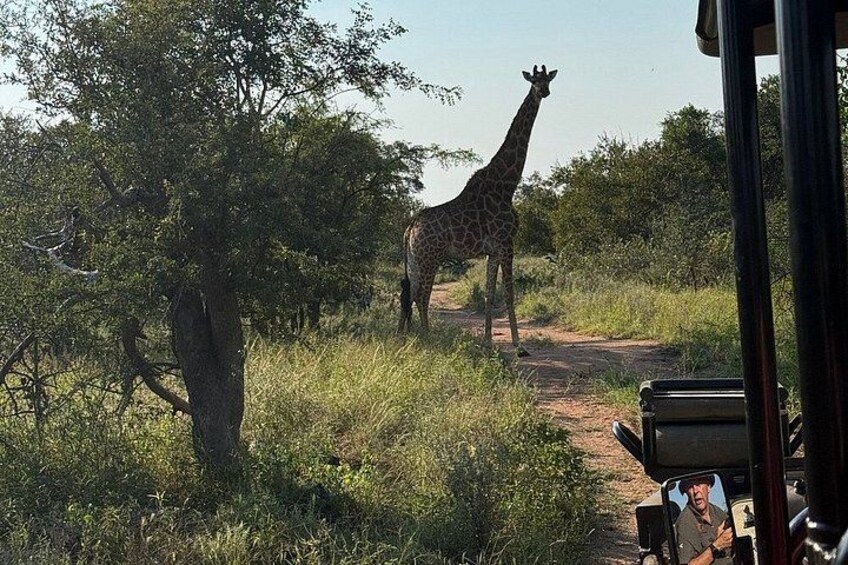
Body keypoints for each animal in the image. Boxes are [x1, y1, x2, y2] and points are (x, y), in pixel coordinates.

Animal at [398, 64, 557, 356]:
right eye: (534, 81)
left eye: (547, 80)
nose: (544, 92)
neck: (506, 184)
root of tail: (410, 228)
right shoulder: (507, 242)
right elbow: (509, 293)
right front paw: (519, 346)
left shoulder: (492, 250)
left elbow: (489, 294)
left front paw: (487, 342)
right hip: (430, 257)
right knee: (421, 296)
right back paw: (427, 338)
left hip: (415, 259)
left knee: (408, 293)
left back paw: (404, 337)